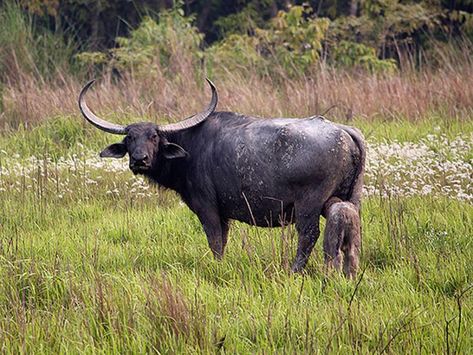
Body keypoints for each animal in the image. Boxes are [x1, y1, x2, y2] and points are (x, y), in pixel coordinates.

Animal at [78, 80, 366, 276]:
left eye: (154, 137)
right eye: (130, 138)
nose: (139, 159)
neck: (190, 148)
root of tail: (342, 129)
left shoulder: (208, 208)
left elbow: (216, 241)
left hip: (309, 205)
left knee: (308, 234)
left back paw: (294, 270)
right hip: (348, 199)